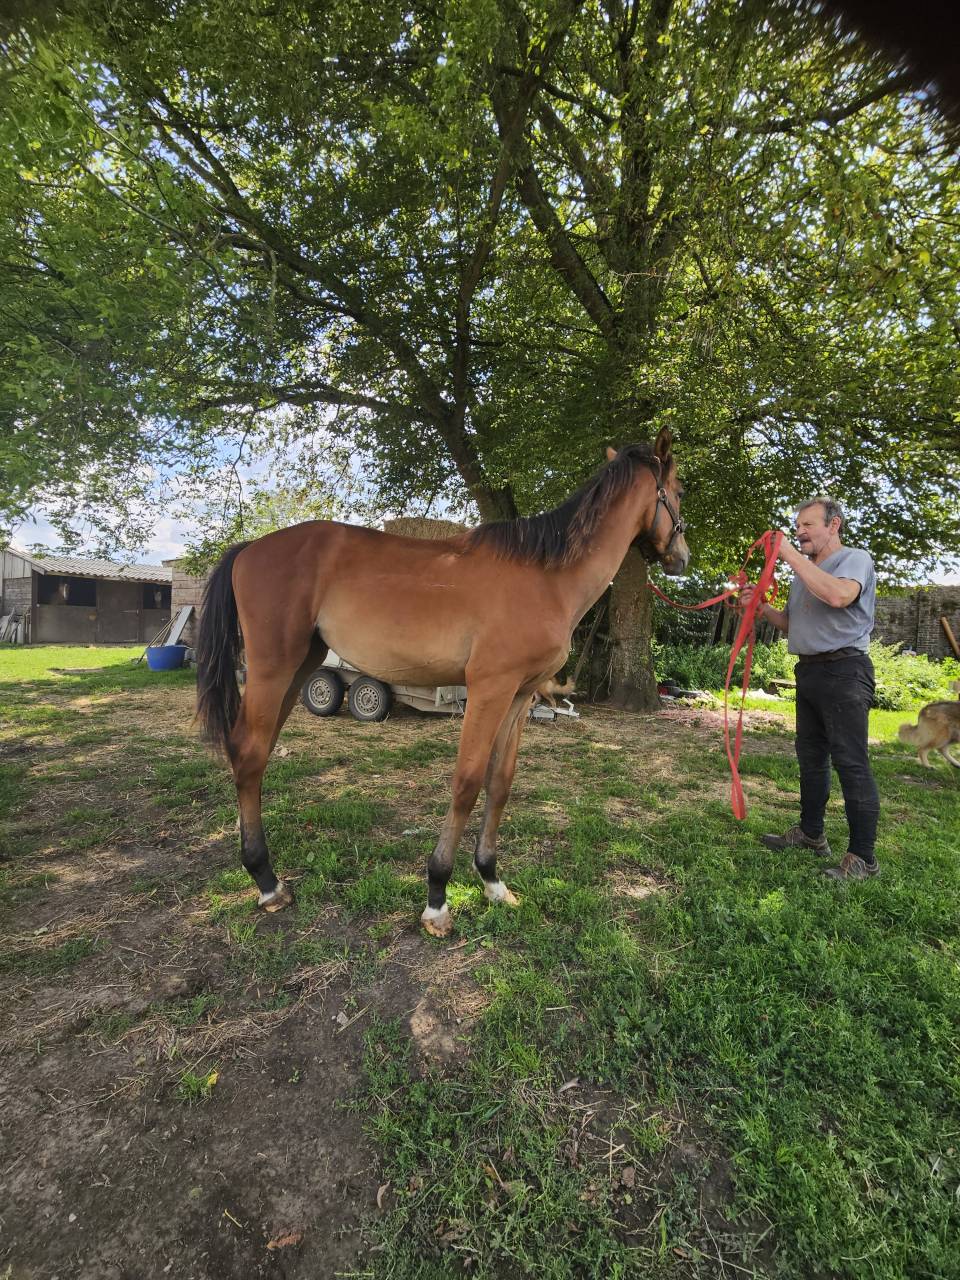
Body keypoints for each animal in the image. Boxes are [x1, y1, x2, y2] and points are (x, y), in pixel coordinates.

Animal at [195, 427, 689, 937]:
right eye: (679, 491)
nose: (682, 558)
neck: (546, 577)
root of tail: (248, 549)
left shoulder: (518, 697)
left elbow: (500, 783)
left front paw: (492, 881)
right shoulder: (489, 690)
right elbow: (467, 782)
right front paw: (437, 896)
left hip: (297, 670)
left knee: (254, 754)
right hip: (274, 669)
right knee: (249, 754)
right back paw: (266, 881)